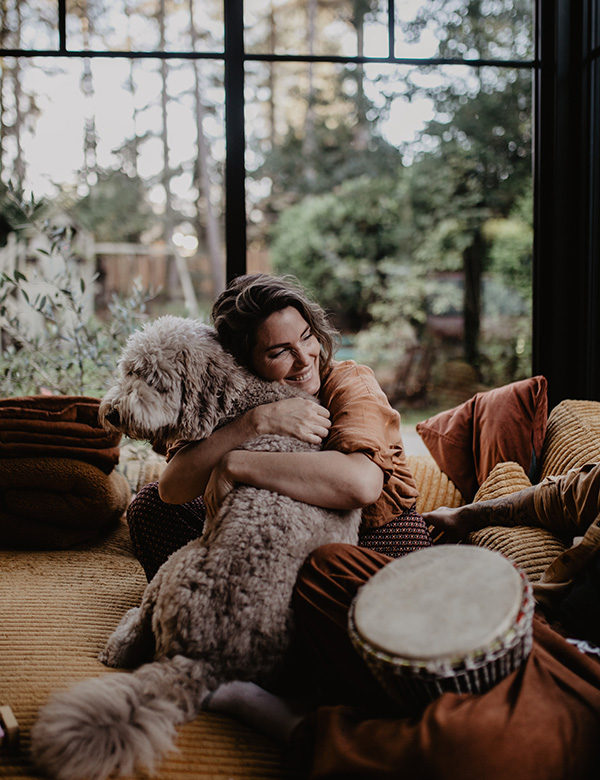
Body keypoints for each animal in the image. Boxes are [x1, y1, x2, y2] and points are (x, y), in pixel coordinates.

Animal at [30, 314, 358, 776]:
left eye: (154, 380)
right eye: (128, 370)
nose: (112, 411)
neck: (242, 400)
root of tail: (205, 660)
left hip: (174, 562)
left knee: (134, 635)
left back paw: (119, 638)